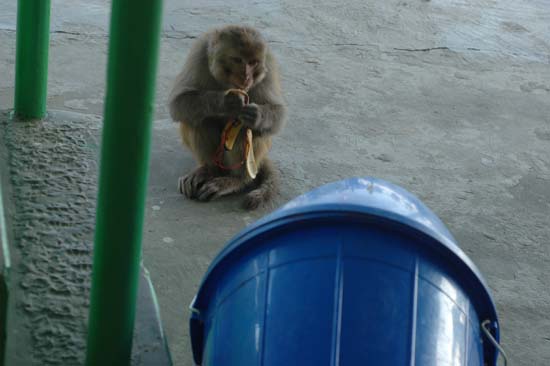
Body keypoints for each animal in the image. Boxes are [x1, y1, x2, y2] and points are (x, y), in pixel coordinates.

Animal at [169, 25, 288, 209]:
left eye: (253, 62)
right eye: (238, 60)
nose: (246, 77)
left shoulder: (268, 63)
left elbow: (278, 113)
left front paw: (256, 115)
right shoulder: (198, 55)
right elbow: (178, 103)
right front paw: (228, 101)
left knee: (246, 129)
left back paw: (236, 180)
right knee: (198, 119)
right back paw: (208, 170)